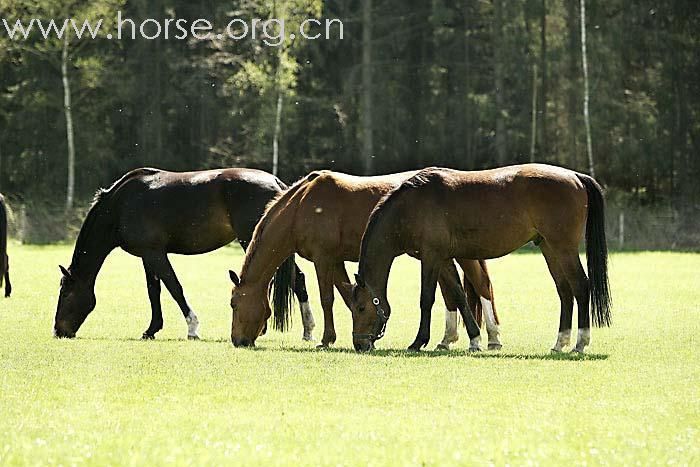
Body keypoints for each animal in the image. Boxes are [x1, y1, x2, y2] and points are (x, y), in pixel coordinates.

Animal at [54, 168, 314, 340]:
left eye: (65, 294)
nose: (58, 331)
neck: (121, 205)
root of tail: (277, 183)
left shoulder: (155, 254)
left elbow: (174, 288)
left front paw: (192, 328)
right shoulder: (147, 256)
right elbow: (154, 291)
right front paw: (152, 329)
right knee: (297, 280)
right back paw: (303, 330)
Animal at [228, 172, 498, 352]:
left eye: (233, 304)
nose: (237, 341)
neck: (302, 206)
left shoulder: (323, 259)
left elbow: (327, 299)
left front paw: (327, 339)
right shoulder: (336, 261)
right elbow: (348, 296)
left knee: (481, 286)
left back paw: (490, 337)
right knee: (454, 291)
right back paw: (449, 340)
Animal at [350, 166, 612, 352]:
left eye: (361, 308)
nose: (360, 344)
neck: (411, 207)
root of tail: (576, 177)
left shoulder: (431, 258)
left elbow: (427, 299)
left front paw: (418, 341)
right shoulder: (444, 259)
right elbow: (459, 295)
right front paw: (475, 339)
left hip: (563, 249)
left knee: (580, 286)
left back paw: (580, 342)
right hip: (549, 248)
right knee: (565, 291)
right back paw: (560, 342)